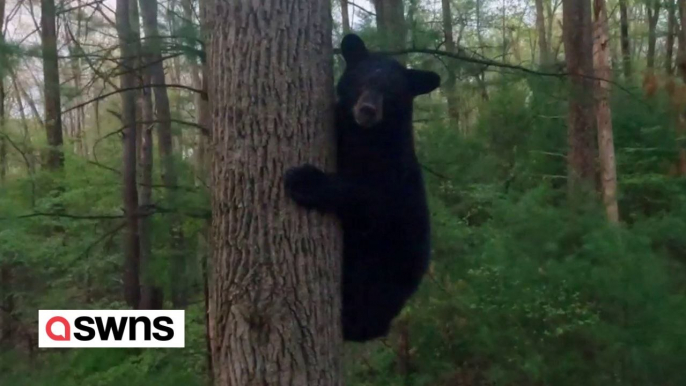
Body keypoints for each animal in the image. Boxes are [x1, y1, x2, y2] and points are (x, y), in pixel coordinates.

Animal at [284, 34, 440, 340]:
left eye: (392, 91)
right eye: (361, 80)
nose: (367, 110)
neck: (365, 137)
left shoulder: (394, 169)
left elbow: (370, 195)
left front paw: (304, 180)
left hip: (383, 267)